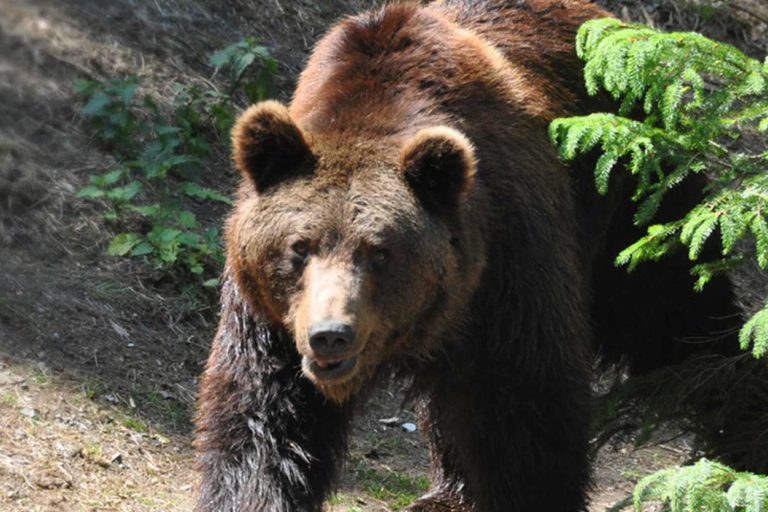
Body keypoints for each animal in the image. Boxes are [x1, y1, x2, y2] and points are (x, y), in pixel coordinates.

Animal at [194, 0, 736, 510]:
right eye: (299, 247)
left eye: (380, 252)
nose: (331, 335)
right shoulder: (269, 322)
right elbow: (261, 425)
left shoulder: (508, 268)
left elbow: (526, 414)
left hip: (635, 197)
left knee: (680, 313)